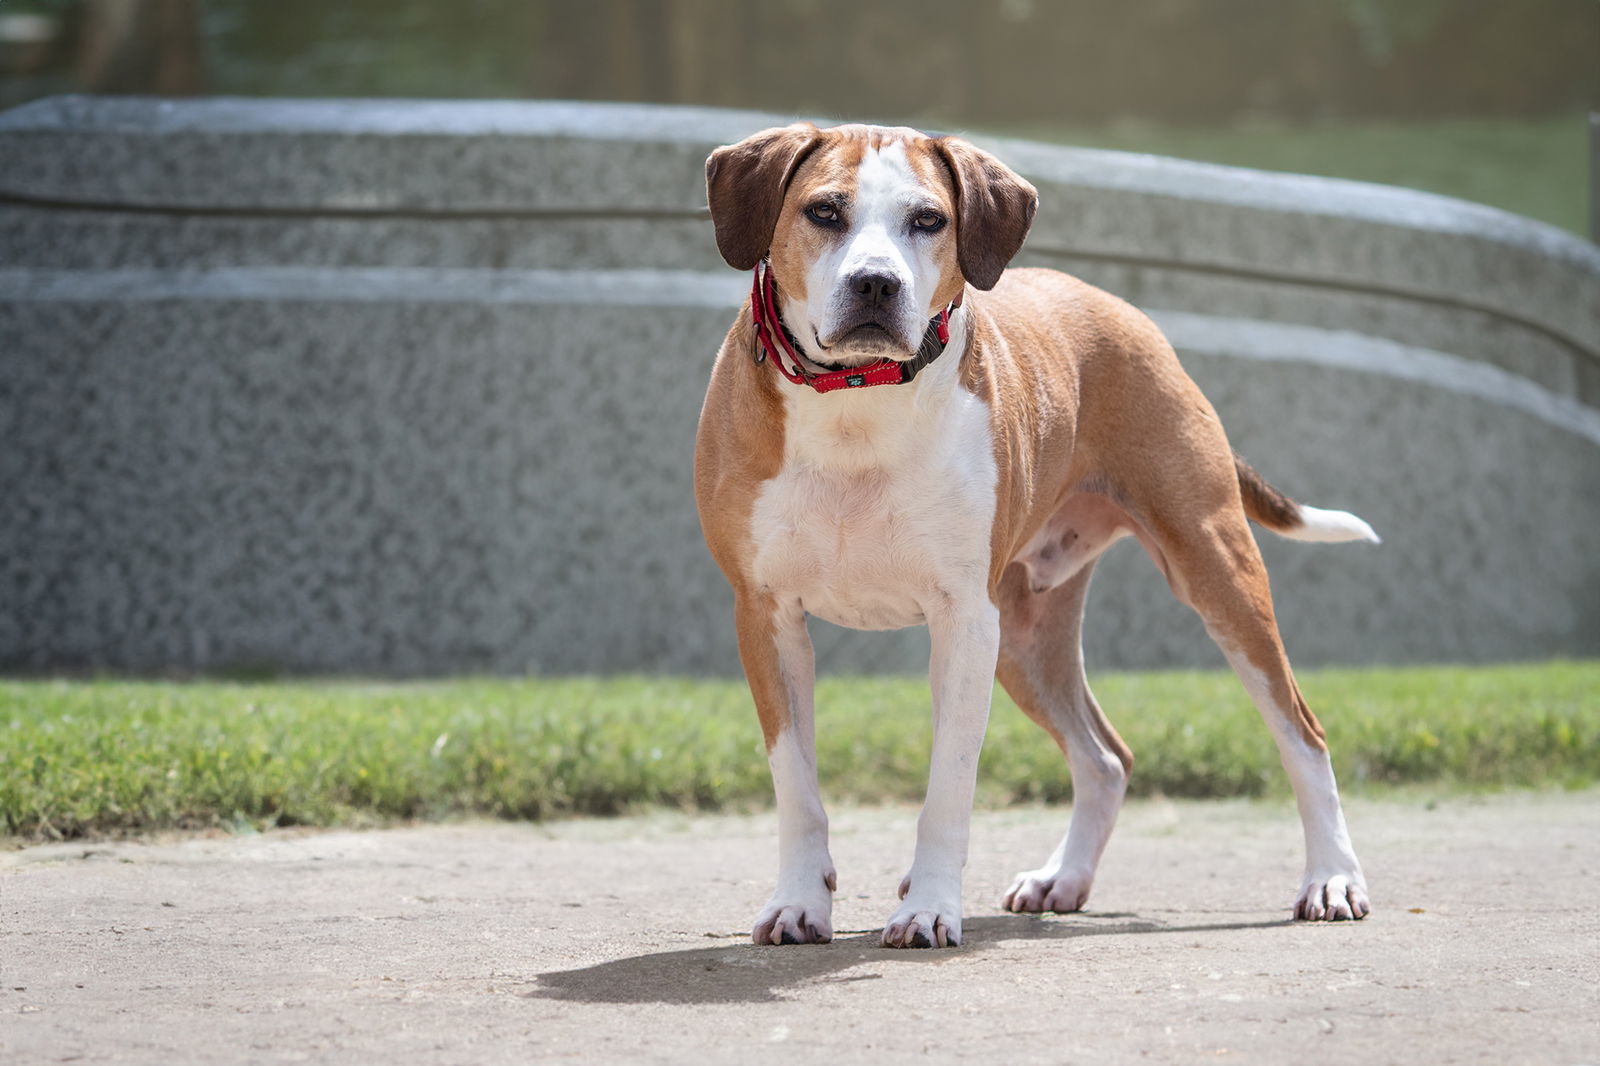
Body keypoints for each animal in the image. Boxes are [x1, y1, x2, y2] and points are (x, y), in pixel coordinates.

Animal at [694, 124, 1382, 947]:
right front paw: (800, 901)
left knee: (1303, 733)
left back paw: (1333, 878)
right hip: (1025, 635)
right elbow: (796, 785)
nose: (876, 285)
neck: (855, 404)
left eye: (929, 220)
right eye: (824, 211)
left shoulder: (964, 620)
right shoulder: (766, 615)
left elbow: (948, 787)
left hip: (1215, 574)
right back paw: (1066, 877)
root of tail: (1120, 308)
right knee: (1106, 758)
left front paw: (928, 906)